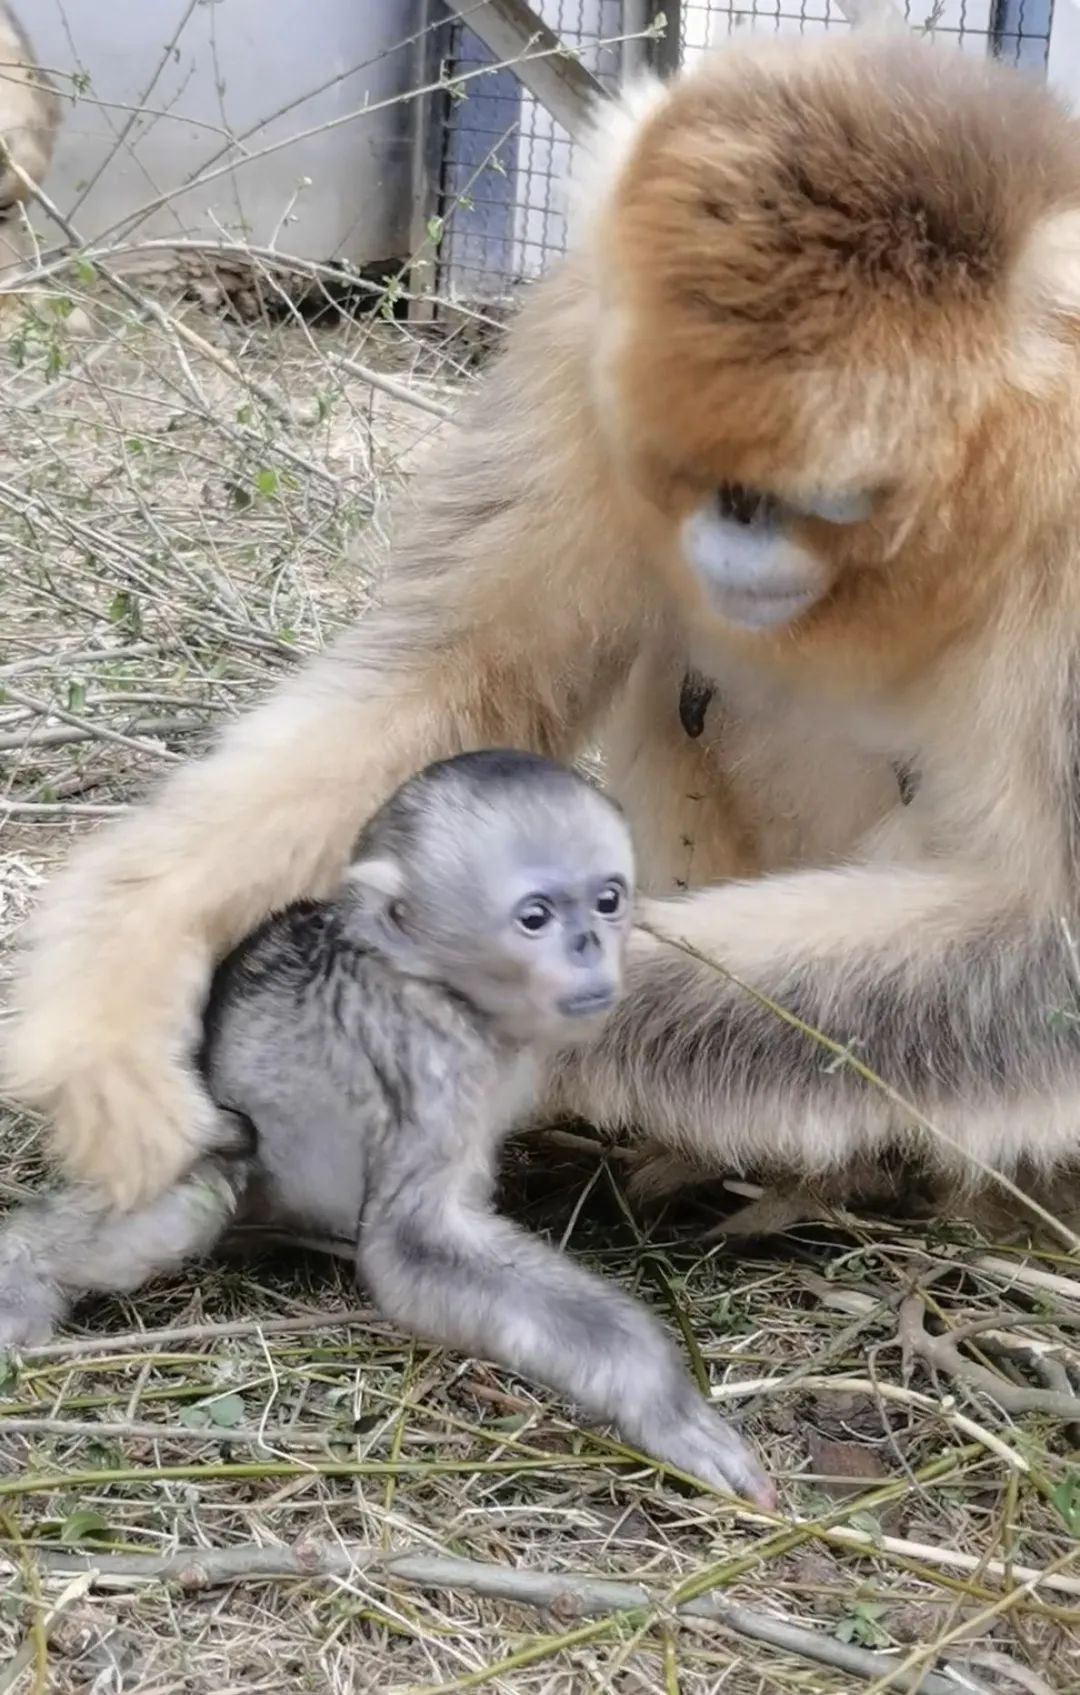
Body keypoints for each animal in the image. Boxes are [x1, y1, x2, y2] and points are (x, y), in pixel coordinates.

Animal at [0, 755, 776, 1511]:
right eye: (535, 917)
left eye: (607, 901)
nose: (589, 947)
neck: (434, 981)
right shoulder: (427, 1053)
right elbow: (408, 1245)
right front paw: (660, 1399)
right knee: (202, 1195)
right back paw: (24, 1269)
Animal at [10, 33, 1080, 1213]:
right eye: (691, 472)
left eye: (816, 500)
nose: (727, 551)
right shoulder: (586, 334)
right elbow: (452, 675)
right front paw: (117, 982)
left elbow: (1048, 953)